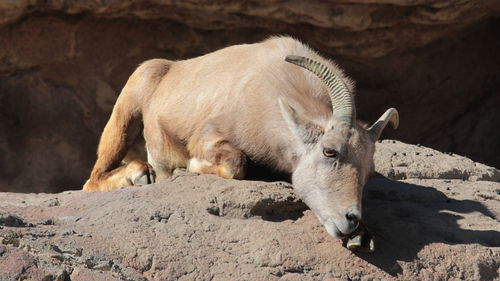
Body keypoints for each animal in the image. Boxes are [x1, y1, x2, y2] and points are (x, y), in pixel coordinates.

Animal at [84, 35, 400, 249]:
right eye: (330, 151)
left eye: (369, 171)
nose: (351, 220)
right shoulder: (209, 136)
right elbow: (236, 164)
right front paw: (186, 167)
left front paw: (362, 237)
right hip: (125, 115)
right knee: (92, 180)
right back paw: (140, 174)